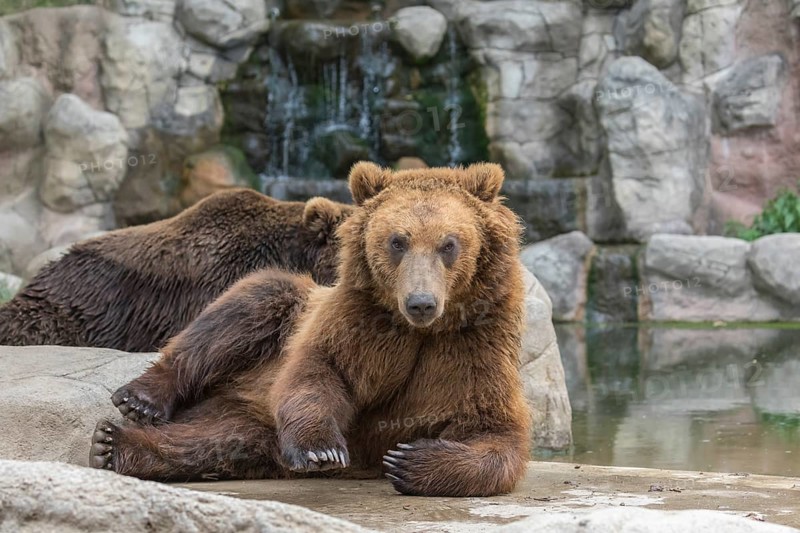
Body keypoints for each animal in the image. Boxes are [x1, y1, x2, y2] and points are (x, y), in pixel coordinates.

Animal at [91, 162, 531, 497]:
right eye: (397, 241)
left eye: (449, 244)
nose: (420, 302)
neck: (420, 332)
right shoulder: (356, 324)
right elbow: (319, 372)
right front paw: (322, 451)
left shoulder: (474, 347)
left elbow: (495, 432)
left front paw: (408, 458)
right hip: (276, 323)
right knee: (244, 310)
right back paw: (136, 406)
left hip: (249, 422)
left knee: (217, 440)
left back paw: (114, 446)